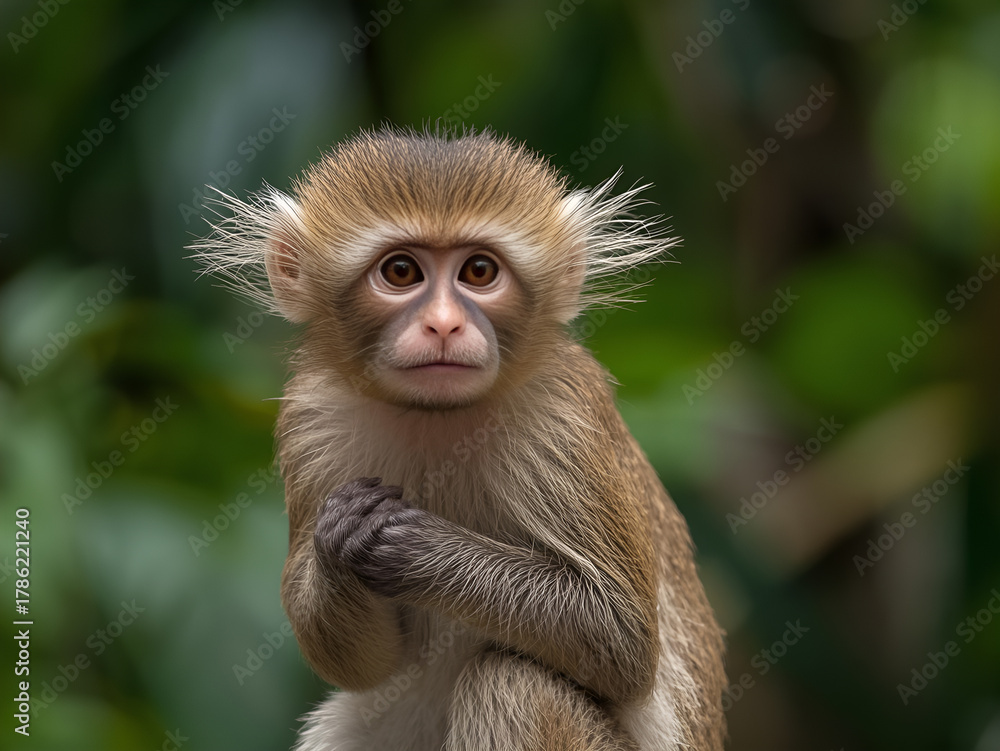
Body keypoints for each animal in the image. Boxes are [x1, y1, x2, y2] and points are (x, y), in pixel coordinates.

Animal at [193, 127, 726, 751]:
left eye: (478, 272)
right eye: (401, 272)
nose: (444, 324)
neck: (438, 419)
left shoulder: (561, 418)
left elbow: (623, 640)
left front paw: (414, 545)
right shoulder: (312, 420)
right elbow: (361, 663)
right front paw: (338, 536)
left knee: (512, 682)